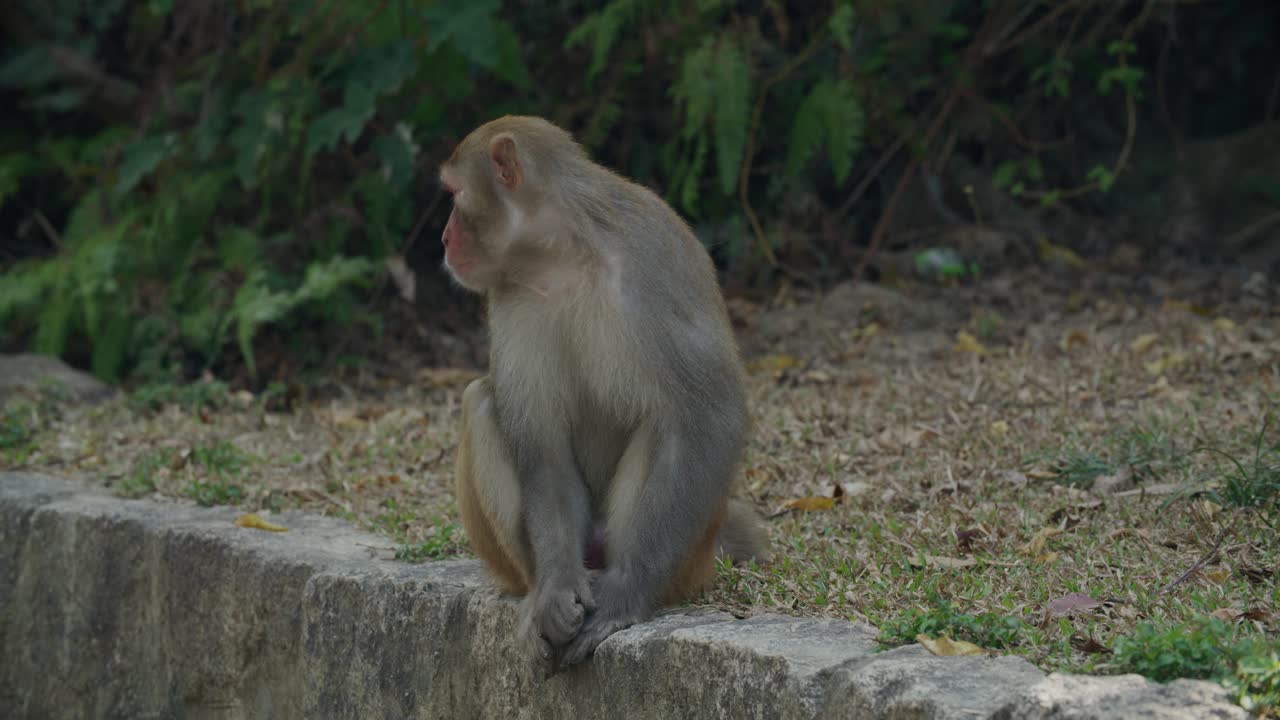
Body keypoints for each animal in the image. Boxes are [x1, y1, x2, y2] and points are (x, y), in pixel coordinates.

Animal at [440, 116, 770, 671]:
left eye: (455, 194)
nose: (443, 238)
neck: (563, 255)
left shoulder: (651, 265)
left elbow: (708, 416)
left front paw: (625, 595)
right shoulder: (512, 296)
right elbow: (543, 450)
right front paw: (555, 593)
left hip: (687, 556)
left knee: (663, 424)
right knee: (482, 403)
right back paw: (539, 594)